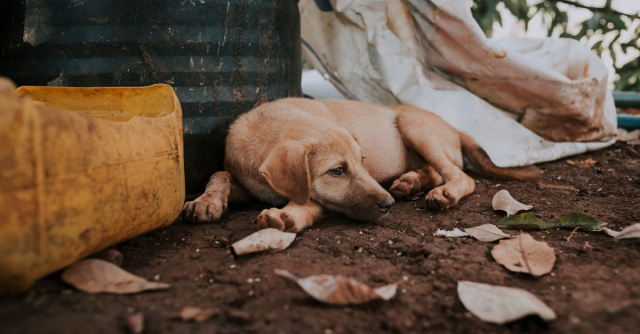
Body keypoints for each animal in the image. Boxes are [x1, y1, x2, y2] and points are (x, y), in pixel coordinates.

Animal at [180, 98, 536, 231]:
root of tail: (455, 128)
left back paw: (441, 193)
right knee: (438, 171)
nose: (388, 205)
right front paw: (206, 200)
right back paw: (410, 182)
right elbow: (220, 172)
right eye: (337, 170)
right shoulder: (248, 182)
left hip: (413, 126)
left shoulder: (317, 199)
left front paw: (286, 215)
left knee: (461, 176)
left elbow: (306, 202)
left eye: (362, 162)